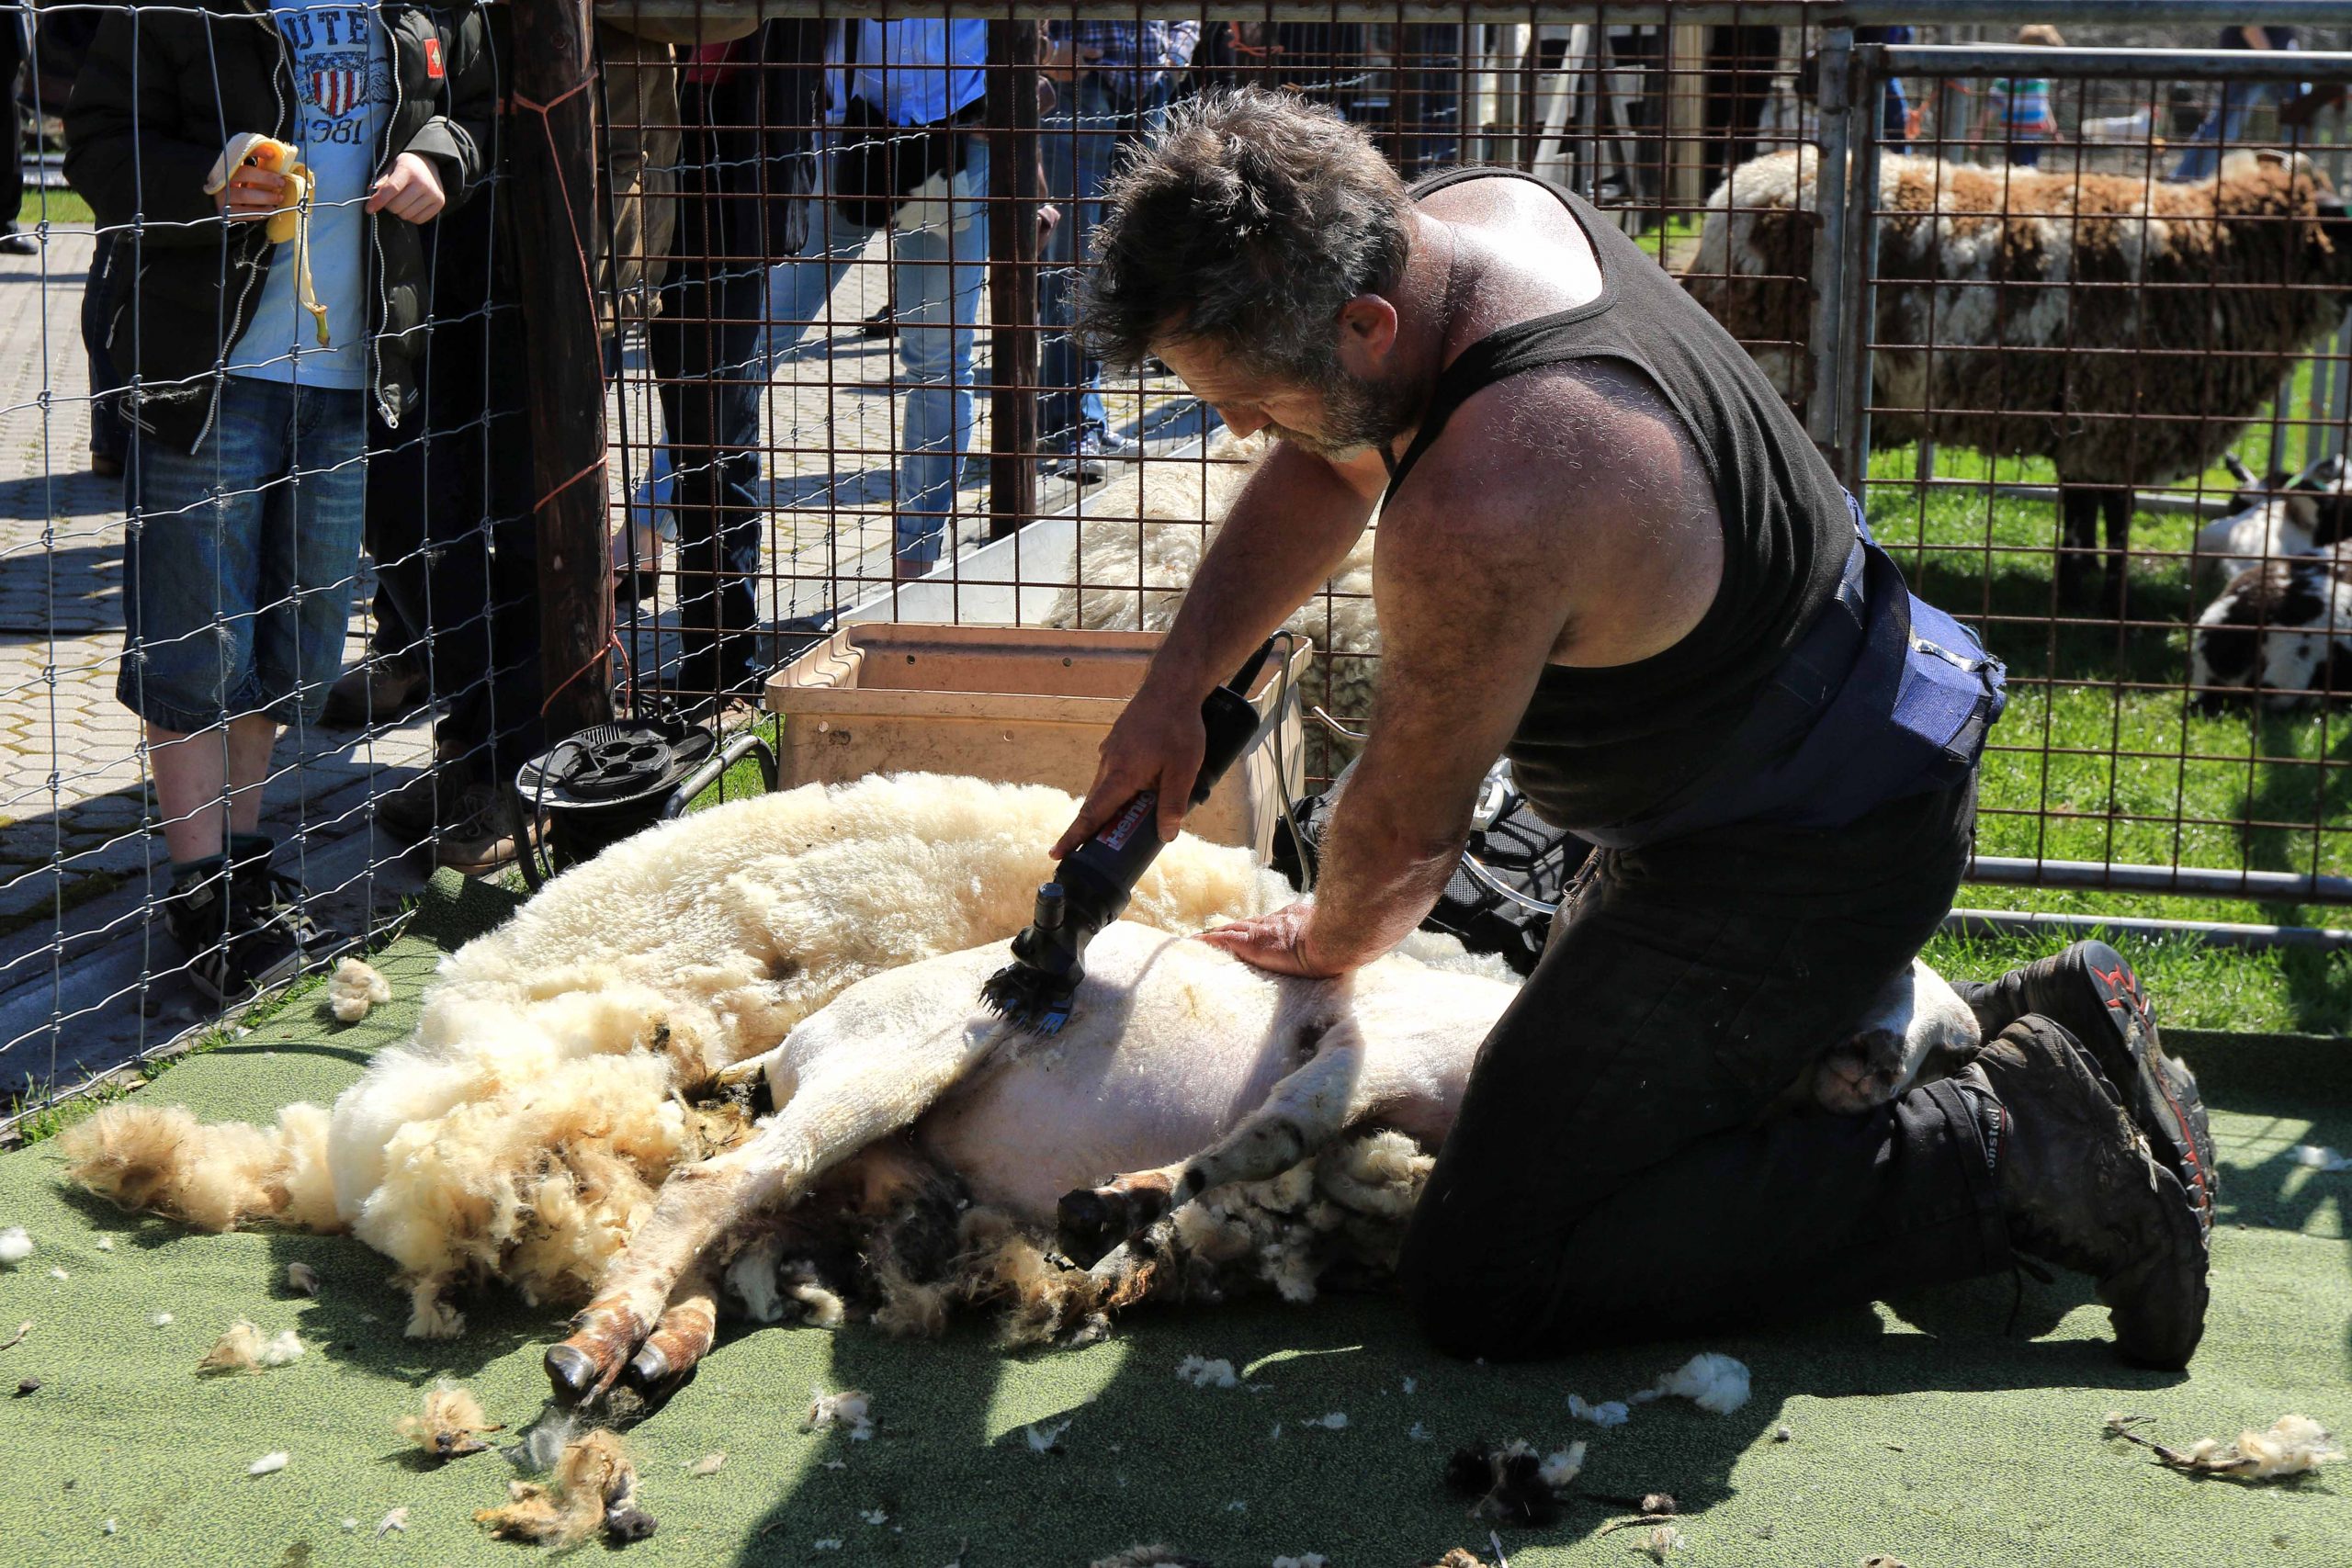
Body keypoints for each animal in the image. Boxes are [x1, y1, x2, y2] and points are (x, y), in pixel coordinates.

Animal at [1693, 146, 2352, 611]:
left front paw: (2083, 582)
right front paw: (2095, 593)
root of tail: (1740, 186)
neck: (2219, 259)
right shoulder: (2112, 419)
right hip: (1776, 363)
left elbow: (2090, 509)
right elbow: (2106, 515)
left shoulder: (2098, 424)